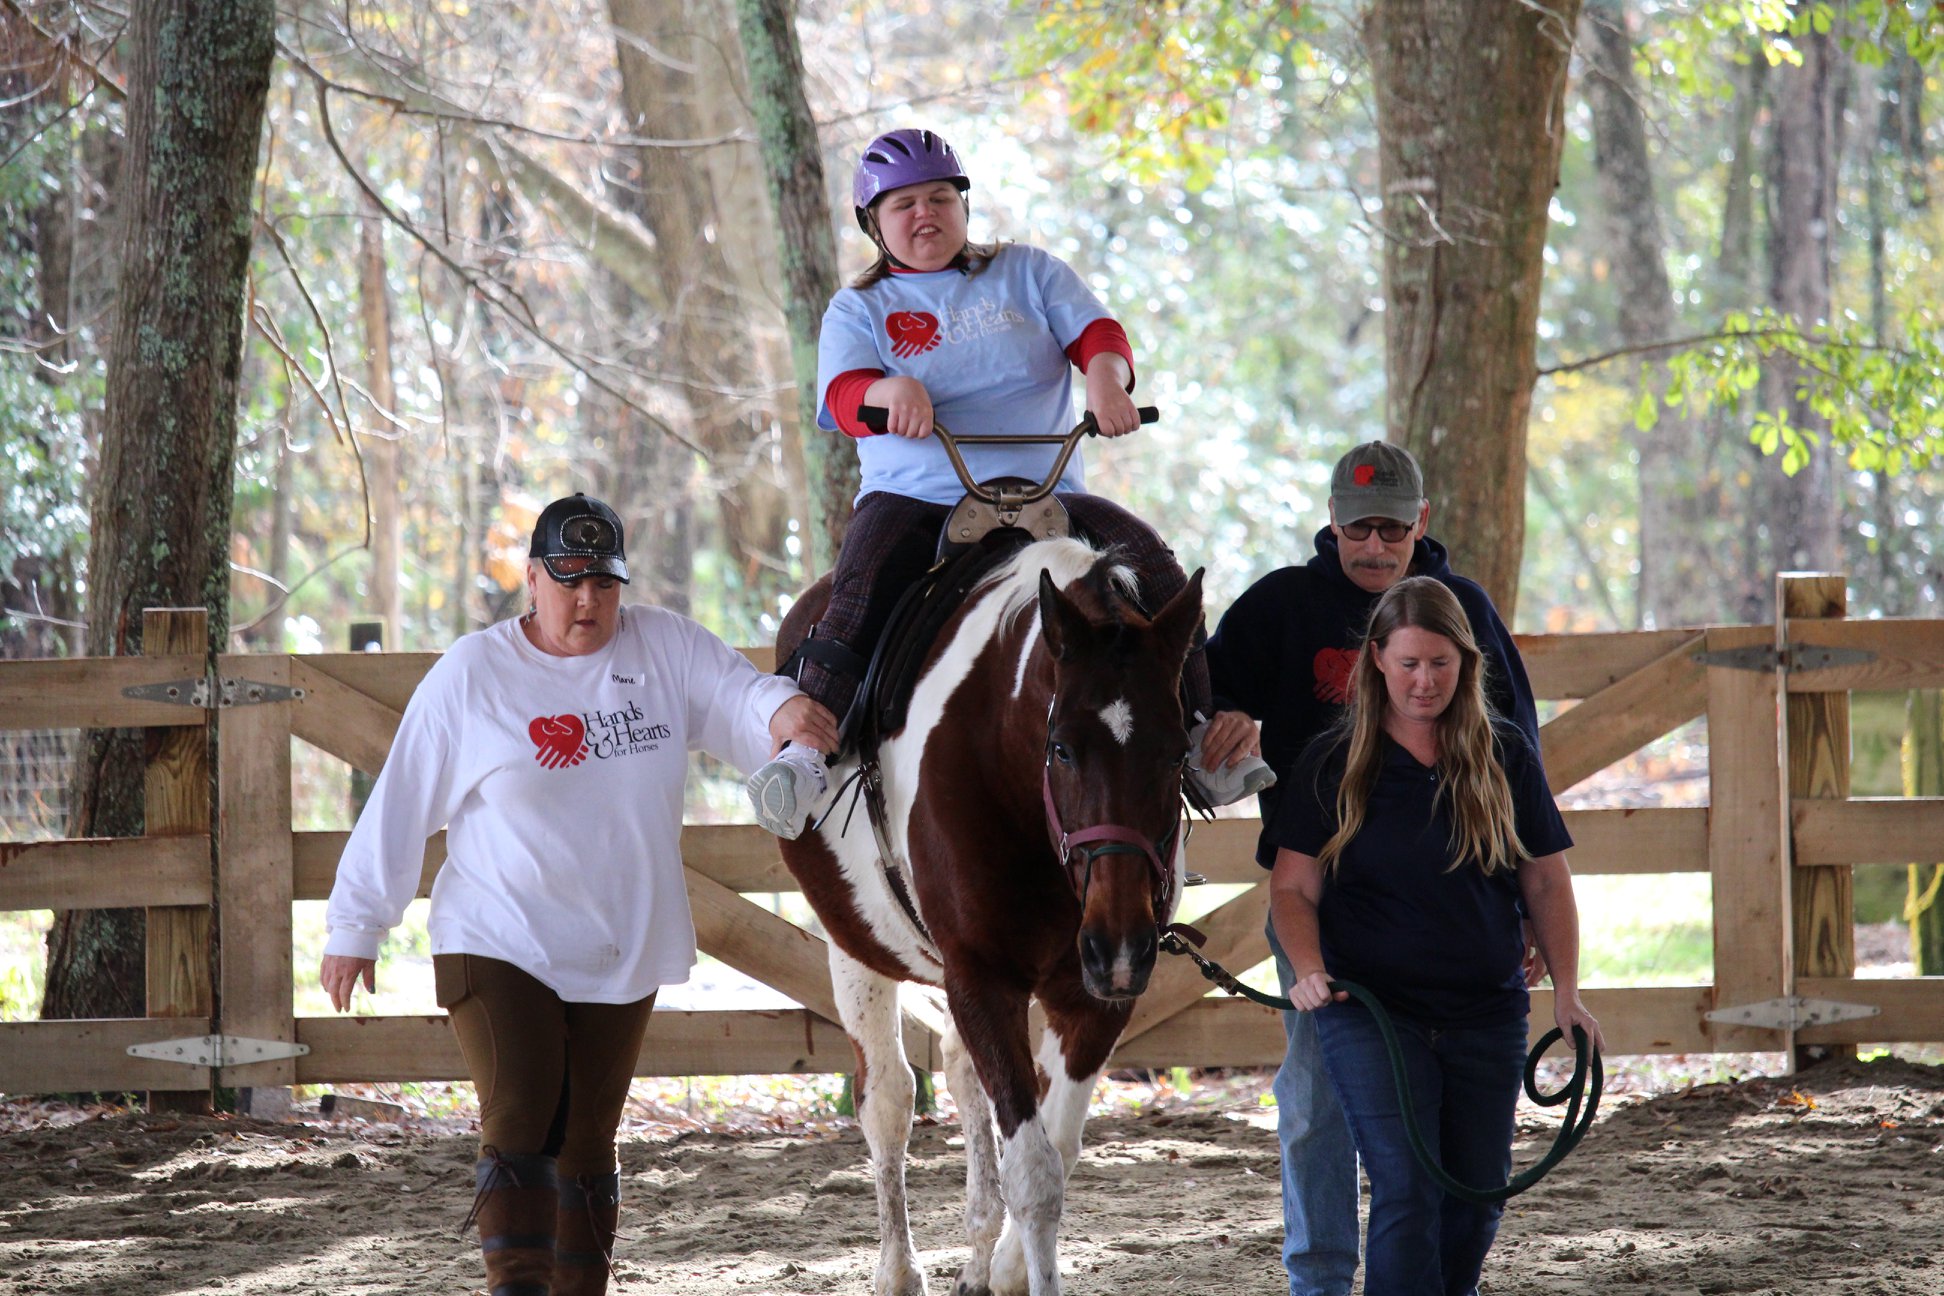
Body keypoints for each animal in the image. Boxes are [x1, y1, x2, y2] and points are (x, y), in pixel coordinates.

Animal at [773, 536, 1197, 1296]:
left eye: (1178, 751)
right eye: (1062, 748)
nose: (1119, 946)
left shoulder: (1092, 1001)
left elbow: (1056, 1145)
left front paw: (1004, 1266)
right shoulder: (982, 979)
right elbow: (1031, 1173)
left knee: (961, 1079)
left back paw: (974, 1256)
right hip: (854, 949)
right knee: (888, 1101)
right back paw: (899, 1269)